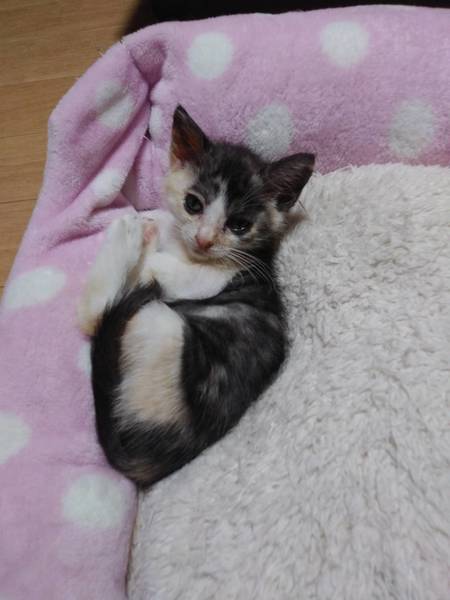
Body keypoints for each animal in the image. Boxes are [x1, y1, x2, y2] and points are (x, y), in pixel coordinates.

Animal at [78, 105, 314, 488]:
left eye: (239, 225)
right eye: (193, 204)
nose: (204, 240)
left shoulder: (208, 280)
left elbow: (162, 272)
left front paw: (144, 245)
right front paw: (154, 225)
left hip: (162, 326)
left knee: (95, 315)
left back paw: (127, 236)